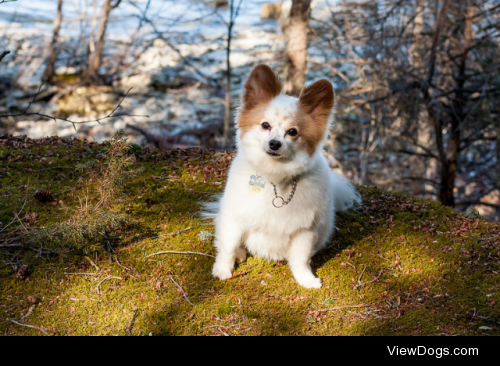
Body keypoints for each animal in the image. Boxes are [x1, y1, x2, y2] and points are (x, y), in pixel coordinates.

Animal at [203, 66, 360, 288]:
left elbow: (301, 259)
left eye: (292, 132)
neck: (276, 177)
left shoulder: (304, 231)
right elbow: (228, 246)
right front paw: (223, 270)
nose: (275, 143)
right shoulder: (235, 218)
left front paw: (306, 279)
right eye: (265, 125)